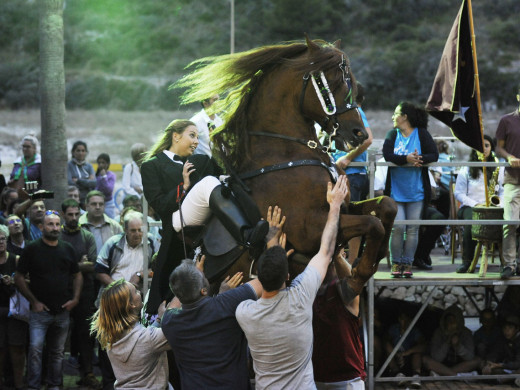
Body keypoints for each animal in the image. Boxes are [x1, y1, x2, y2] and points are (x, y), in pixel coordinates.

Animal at [177, 36, 396, 298]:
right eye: (329, 85)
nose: (359, 133)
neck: (287, 154)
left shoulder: (343, 205)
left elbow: (386, 206)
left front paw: (378, 254)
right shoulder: (310, 230)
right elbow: (373, 225)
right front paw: (357, 276)